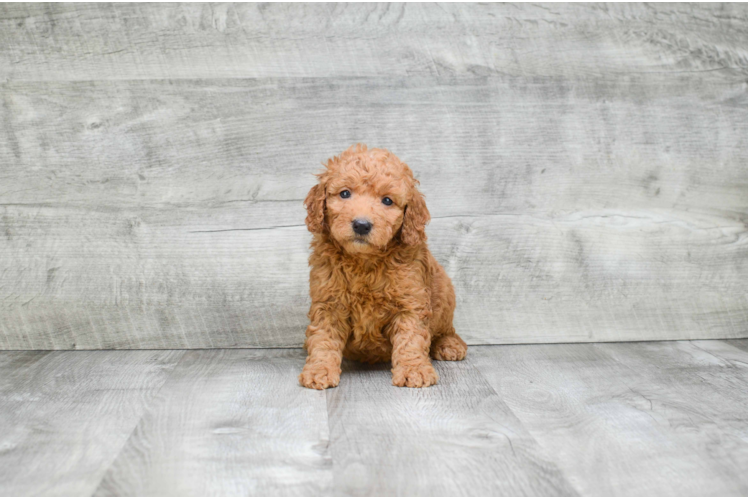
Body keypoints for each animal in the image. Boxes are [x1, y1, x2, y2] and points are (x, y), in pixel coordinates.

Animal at [300, 145, 468, 390]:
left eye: (387, 201)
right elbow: (324, 339)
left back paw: (450, 345)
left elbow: (411, 338)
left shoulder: (411, 301)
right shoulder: (328, 303)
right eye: (344, 194)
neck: (364, 261)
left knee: (445, 328)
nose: (361, 225)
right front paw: (319, 370)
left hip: (445, 294)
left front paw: (414, 370)